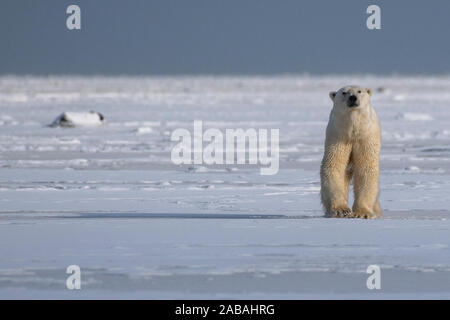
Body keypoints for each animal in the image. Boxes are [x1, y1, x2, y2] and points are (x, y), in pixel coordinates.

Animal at [320, 85, 380, 219]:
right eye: (344, 92)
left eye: (359, 91)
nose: (353, 97)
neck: (353, 130)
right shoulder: (338, 137)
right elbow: (334, 166)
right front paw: (341, 210)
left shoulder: (365, 138)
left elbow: (366, 169)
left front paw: (362, 213)